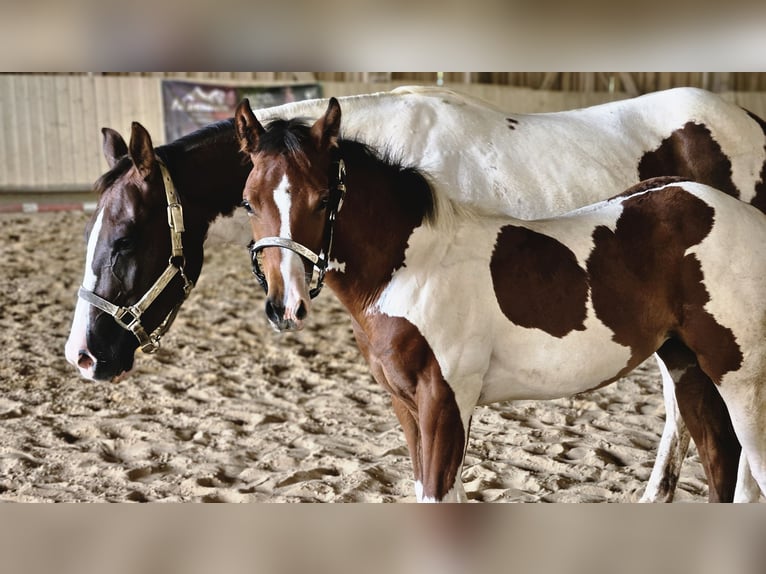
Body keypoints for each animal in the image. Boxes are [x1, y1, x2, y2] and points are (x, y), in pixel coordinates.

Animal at [66, 87, 766, 502]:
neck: (414, 259)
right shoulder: (413, 405)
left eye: (125, 240)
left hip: (738, 373)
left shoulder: (446, 399)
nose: (85, 354)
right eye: (249, 199)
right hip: (686, 361)